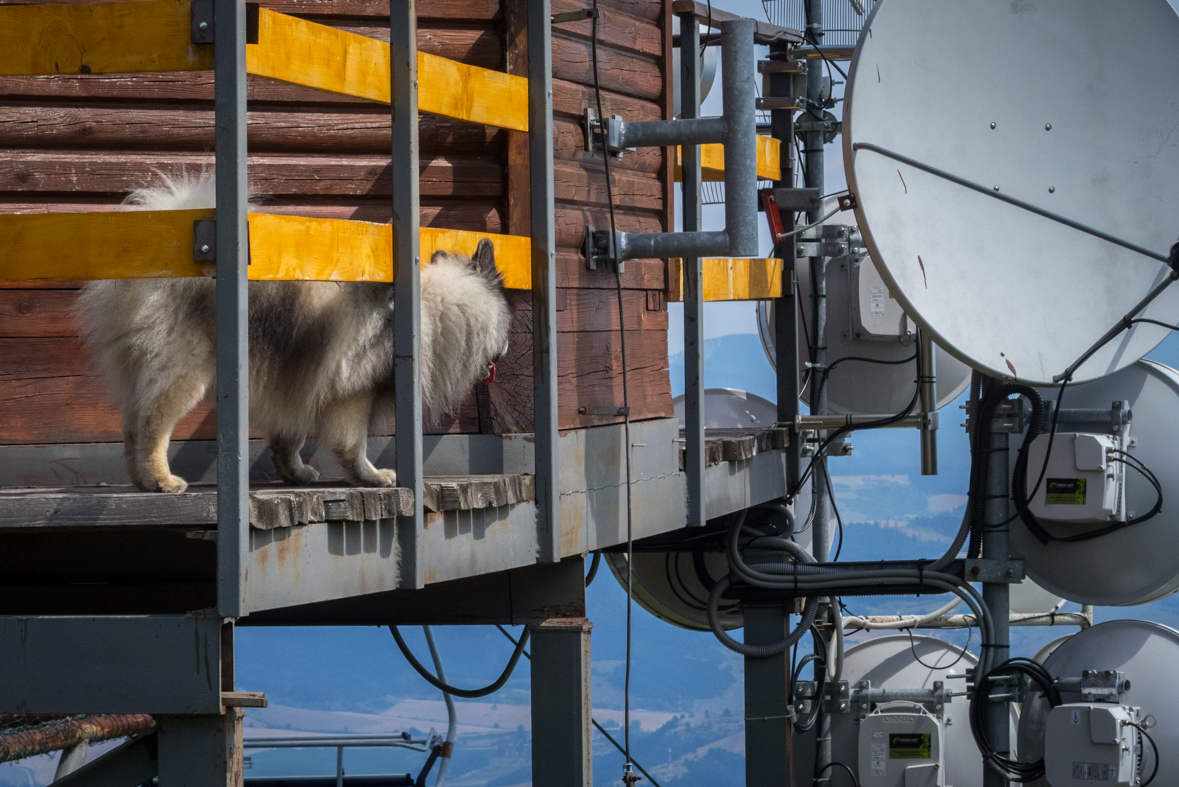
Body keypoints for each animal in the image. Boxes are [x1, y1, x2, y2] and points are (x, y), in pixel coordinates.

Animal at [77, 173, 511, 492]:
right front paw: (371, 477)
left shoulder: (300, 379)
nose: (506, 349)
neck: (435, 307)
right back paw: (162, 480)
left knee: (131, 426)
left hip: (142, 369)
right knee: (152, 425)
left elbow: (290, 438)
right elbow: (352, 444)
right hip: (184, 374)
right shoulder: (353, 394)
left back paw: (141, 481)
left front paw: (294, 473)